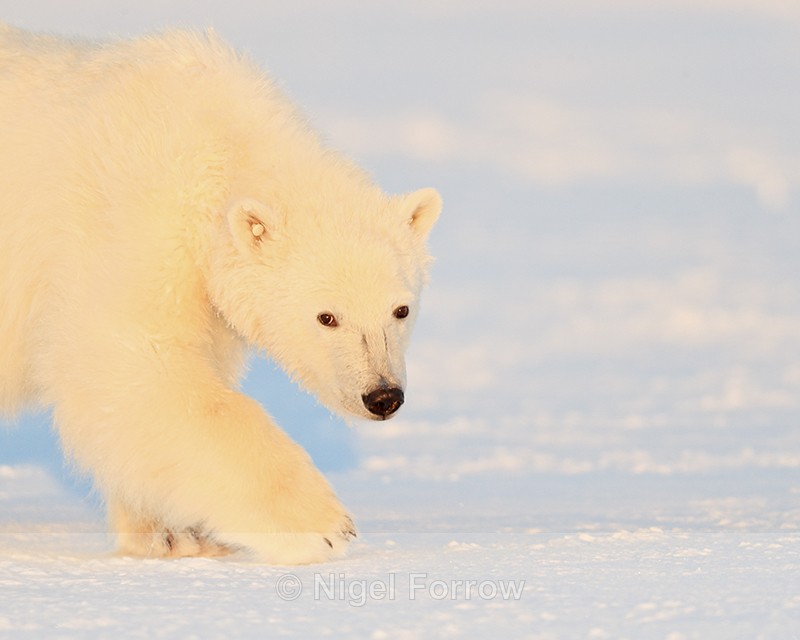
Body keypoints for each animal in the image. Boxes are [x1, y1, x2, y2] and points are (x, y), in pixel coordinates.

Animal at [0, 25, 440, 564]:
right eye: (326, 316)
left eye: (401, 309)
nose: (382, 396)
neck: (216, 143)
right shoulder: (129, 223)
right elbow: (134, 365)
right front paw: (321, 525)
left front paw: (171, 533)